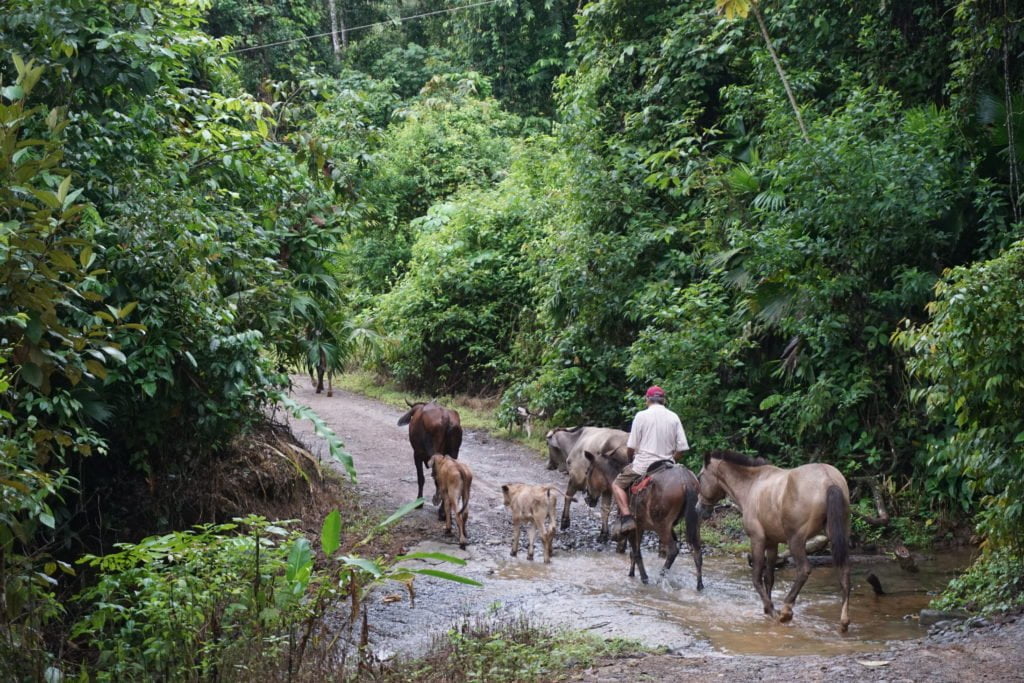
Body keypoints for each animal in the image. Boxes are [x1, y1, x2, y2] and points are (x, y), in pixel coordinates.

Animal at [585, 450, 704, 589]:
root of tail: (685, 480)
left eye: (588, 472)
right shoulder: (641, 526)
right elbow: (633, 553)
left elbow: (636, 553)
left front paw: (644, 578)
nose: (587, 498)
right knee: (697, 552)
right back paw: (699, 586)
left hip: (661, 525)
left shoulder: (633, 528)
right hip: (695, 523)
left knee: (673, 550)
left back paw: (660, 579)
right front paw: (632, 574)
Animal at [696, 450, 856, 634]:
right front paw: (767, 609)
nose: (698, 508)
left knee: (804, 570)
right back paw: (844, 621)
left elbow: (756, 577)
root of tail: (829, 480)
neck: (752, 486)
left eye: (700, 477)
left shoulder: (757, 539)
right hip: (838, 536)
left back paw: (786, 610)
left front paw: (772, 610)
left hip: (796, 540)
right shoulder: (772, 542)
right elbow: (769, 577)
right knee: (844, 571)